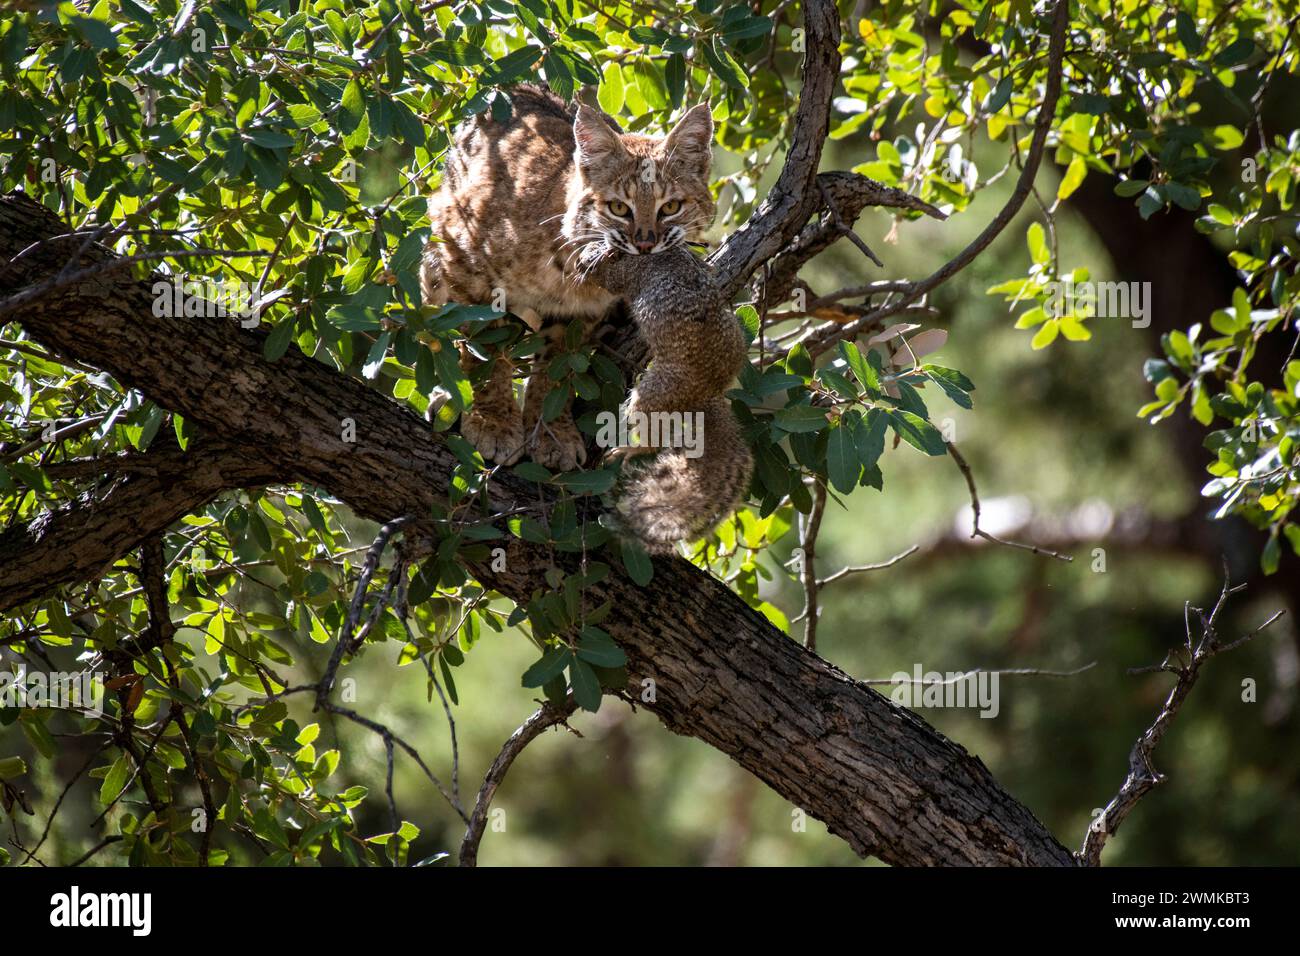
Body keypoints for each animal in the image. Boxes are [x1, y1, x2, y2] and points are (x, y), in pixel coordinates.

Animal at [579, 240, 754, 554]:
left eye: (592, 258)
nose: (577, 264)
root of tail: (706, 396)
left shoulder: (624, 277)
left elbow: (613, 283)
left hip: (653, 393)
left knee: (654, 437)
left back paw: (632, 449)